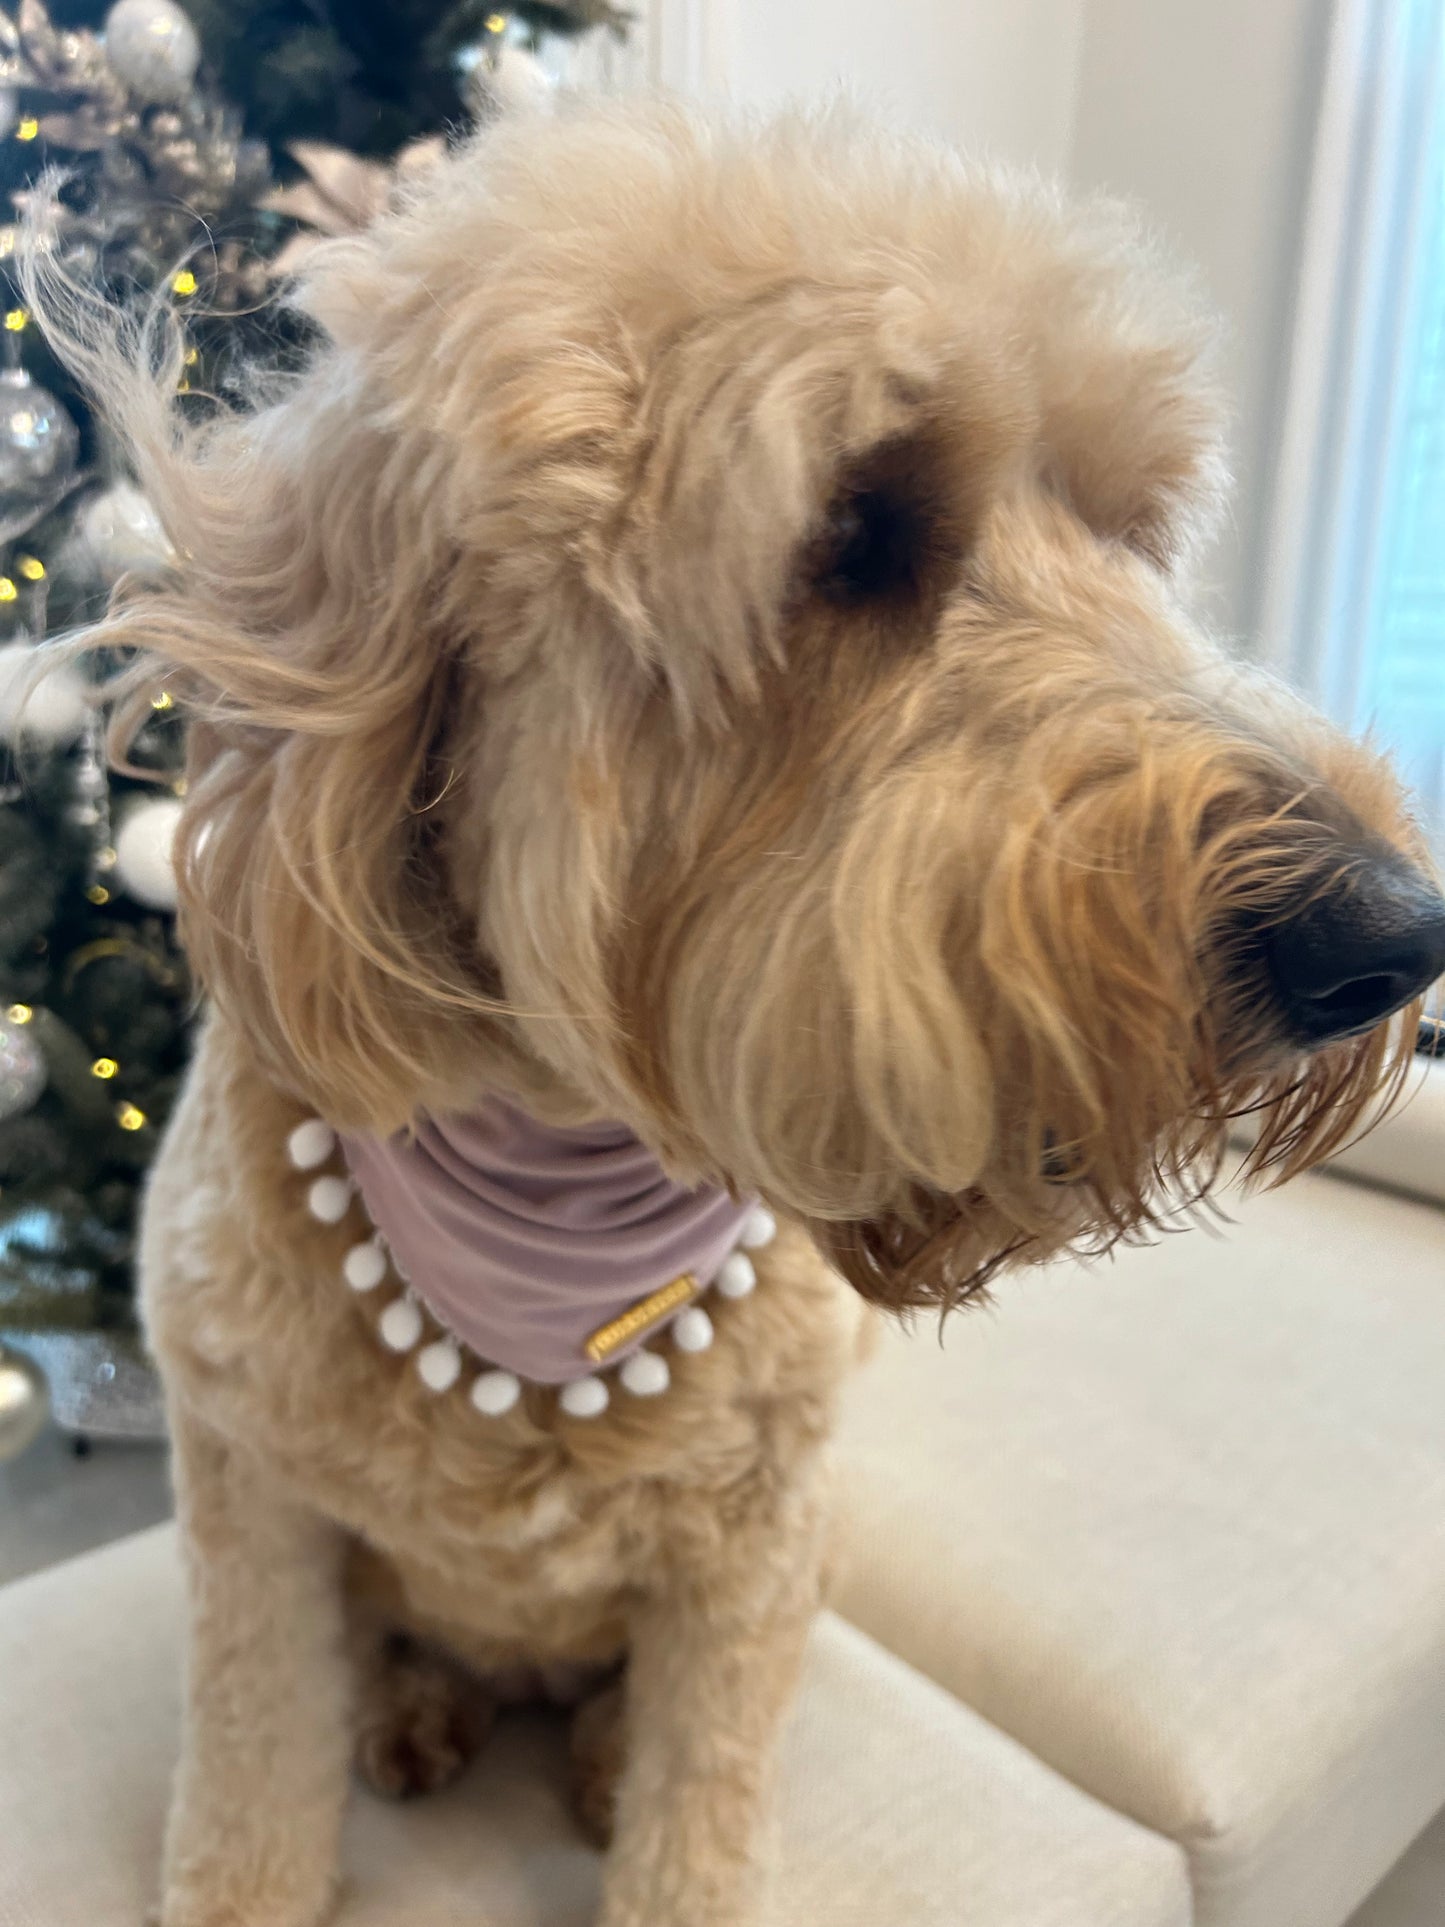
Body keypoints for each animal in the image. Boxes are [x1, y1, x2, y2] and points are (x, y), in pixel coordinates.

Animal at [42, 93, 1445, 1927]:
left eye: (1130, 529)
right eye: (855, 529)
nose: (1394, 934)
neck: (567, 1181)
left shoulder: (754, 1551)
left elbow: (698, 1804)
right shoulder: (253, 1517)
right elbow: (251, 1797)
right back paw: (415, 1708)